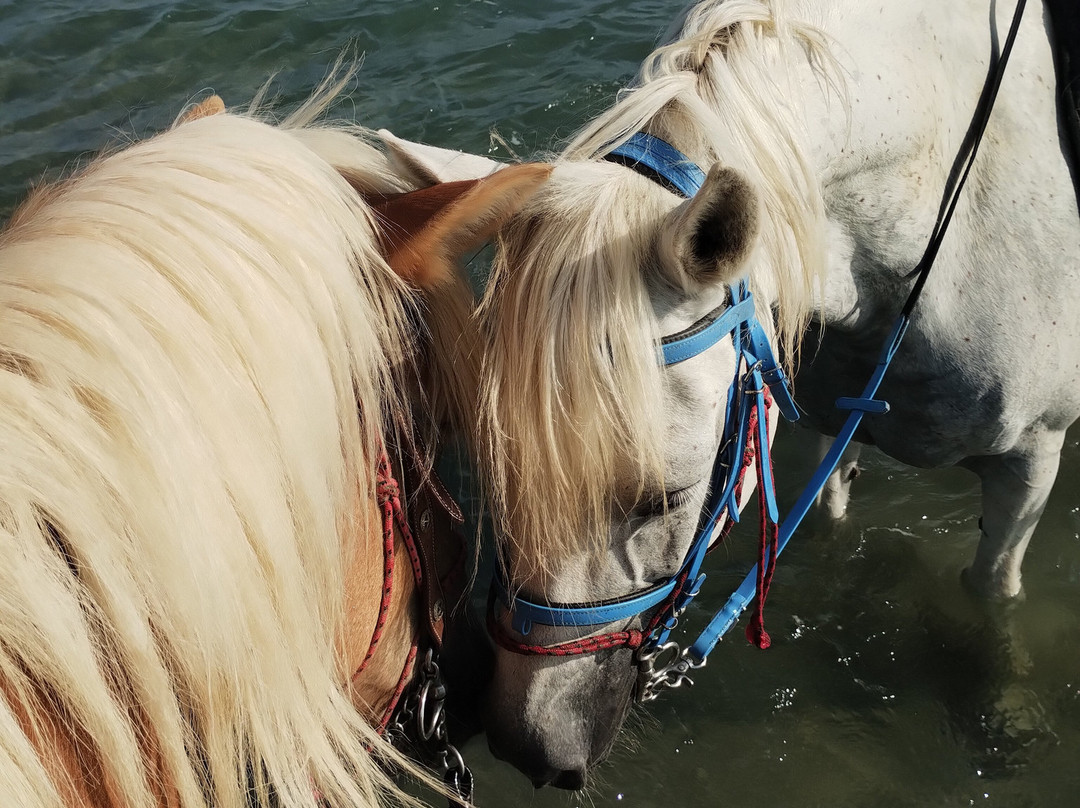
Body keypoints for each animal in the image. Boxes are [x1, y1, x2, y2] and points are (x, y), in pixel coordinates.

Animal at [380, 0, 1080, 789]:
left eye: (664, 500)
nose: (530, 747)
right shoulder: (823, 417)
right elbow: (830, 517)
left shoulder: (1031, 457)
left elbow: (992, 588)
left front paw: (1002, 712)